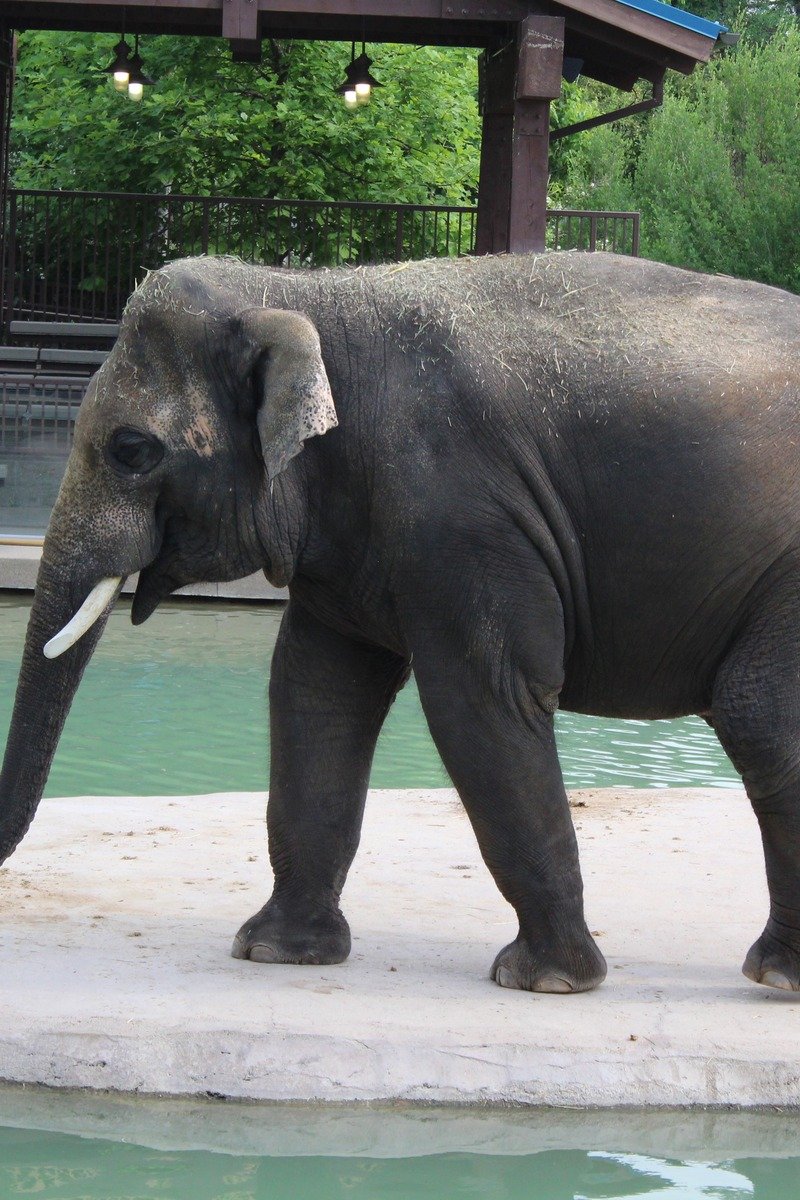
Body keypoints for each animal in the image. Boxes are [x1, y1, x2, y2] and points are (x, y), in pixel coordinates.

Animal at [1, 249, 799, 996]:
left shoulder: (463, 516)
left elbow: (481, 701)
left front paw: (547, 981)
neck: (301, 292)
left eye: (131, 450)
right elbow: (316, 692)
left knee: (756, 715)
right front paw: (276, 953)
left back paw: (775, 977)